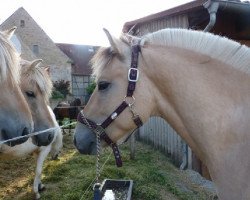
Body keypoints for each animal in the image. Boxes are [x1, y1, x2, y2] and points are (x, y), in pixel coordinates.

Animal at [0, 58, 62, 199]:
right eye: (30, 93)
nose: (49, 135)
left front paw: (39, 186)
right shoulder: (44, 149)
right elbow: (38, 171)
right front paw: (36, 191)